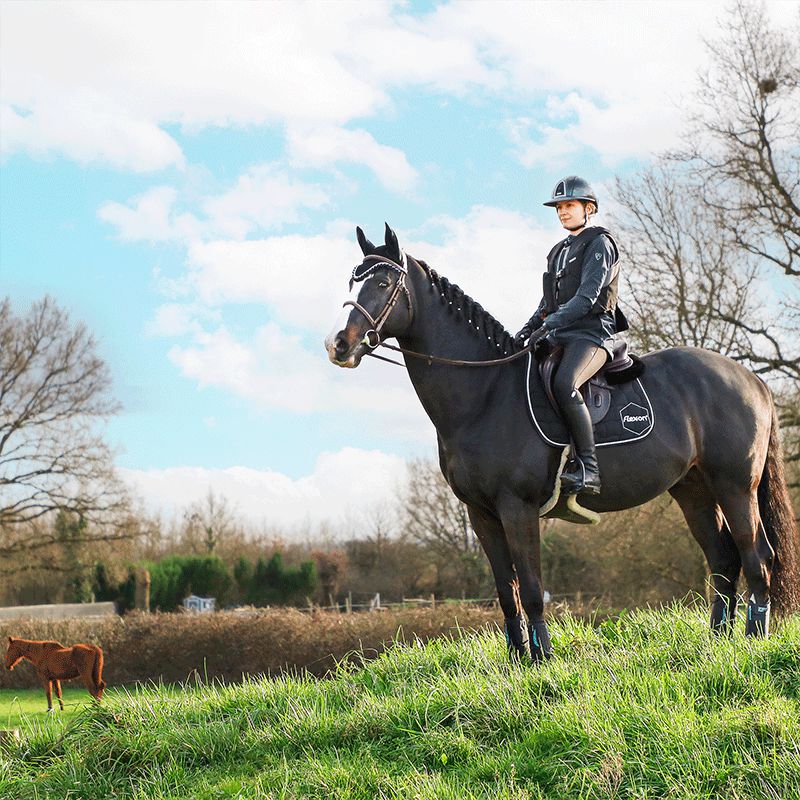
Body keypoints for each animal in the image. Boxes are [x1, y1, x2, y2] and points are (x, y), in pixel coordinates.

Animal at [324, 225, 800, 664]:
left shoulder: (516, 507)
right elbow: (507, 591)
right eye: (351, 281)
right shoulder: (480, 513)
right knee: (724, 560)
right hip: (694, 490)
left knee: (757, 556)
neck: (485, 393)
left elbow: (533, 589)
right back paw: (718, 643)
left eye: (383, 284)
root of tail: (751, 379)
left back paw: (753, 641)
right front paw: (517, 663)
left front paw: (542, 662)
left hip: (735, 487)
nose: (338, 345)